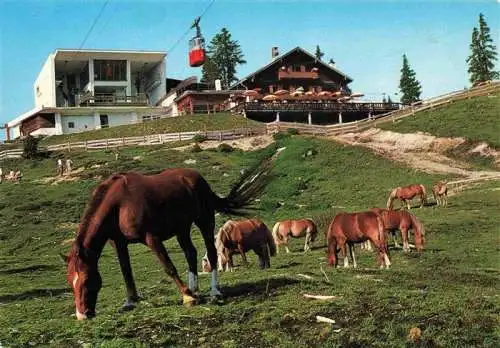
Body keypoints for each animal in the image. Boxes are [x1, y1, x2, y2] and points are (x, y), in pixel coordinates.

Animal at [63, 159, 276, 320]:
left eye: (86, 279)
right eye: (70, 282)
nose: (82, 315)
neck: (119, 204)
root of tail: (198, 179)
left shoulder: (152, 238)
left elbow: (169, 267)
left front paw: (187, 297)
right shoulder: (119, 243)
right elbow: (126, 272)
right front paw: (131, 301)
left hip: (205, 222)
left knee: (212, 253)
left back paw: (213, 291)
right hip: (182, 229)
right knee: (191, 253)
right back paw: (195, 288)